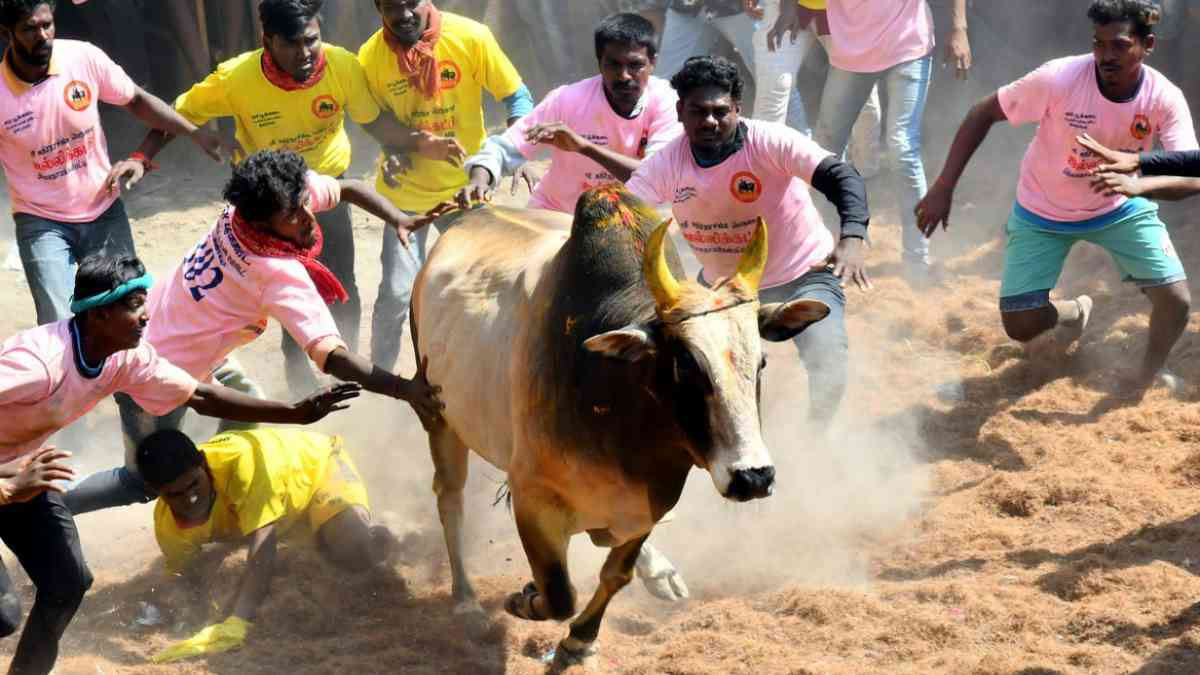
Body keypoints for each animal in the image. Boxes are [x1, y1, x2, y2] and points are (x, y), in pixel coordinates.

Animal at [410, 186, 830, 668]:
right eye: (686, 365)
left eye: (760, 362)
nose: (754, 477)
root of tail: (466, 217)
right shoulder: (532, 498)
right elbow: (559, 593)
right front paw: (526, 599)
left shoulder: (650, 500)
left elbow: (616, 574)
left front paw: (580, 639)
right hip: (439, 416)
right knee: (450, 500)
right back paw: (464, 597)